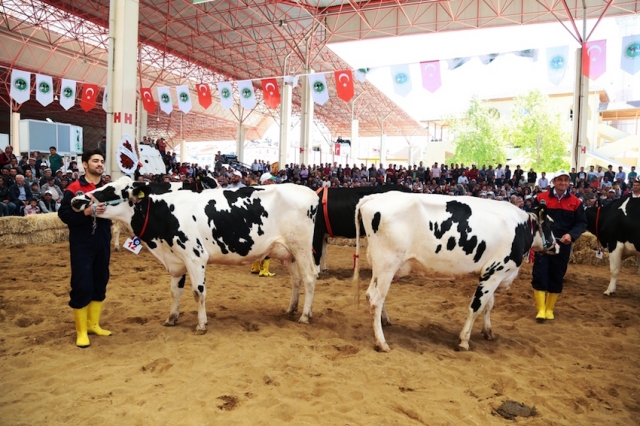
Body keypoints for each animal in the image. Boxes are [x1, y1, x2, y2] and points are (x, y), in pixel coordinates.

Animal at [73, 176, 320, 332]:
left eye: (109, 191)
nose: (76, 200)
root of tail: (311, 193)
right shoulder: (176, 260)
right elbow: (175, 292)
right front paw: (171, 318)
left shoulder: (195, 257)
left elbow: (198, 293)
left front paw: (201, 324)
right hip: (288, 252)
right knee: (296, 280)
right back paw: (291, 309)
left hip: (301, 247)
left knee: (309, 278)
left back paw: (305, 316)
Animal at [352, 193, 556, 352]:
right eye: (550, 226)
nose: (557, 246)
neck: (520, 227)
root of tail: (375, 197)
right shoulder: (495, 271)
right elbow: (476, 307)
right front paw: (464, 340)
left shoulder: (492, 275)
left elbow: (488, 305)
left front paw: (488, 332)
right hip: (387, 263)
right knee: (376, 299)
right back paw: (381, 342)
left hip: (381, 268)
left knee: (374, 296)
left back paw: (384, 323)